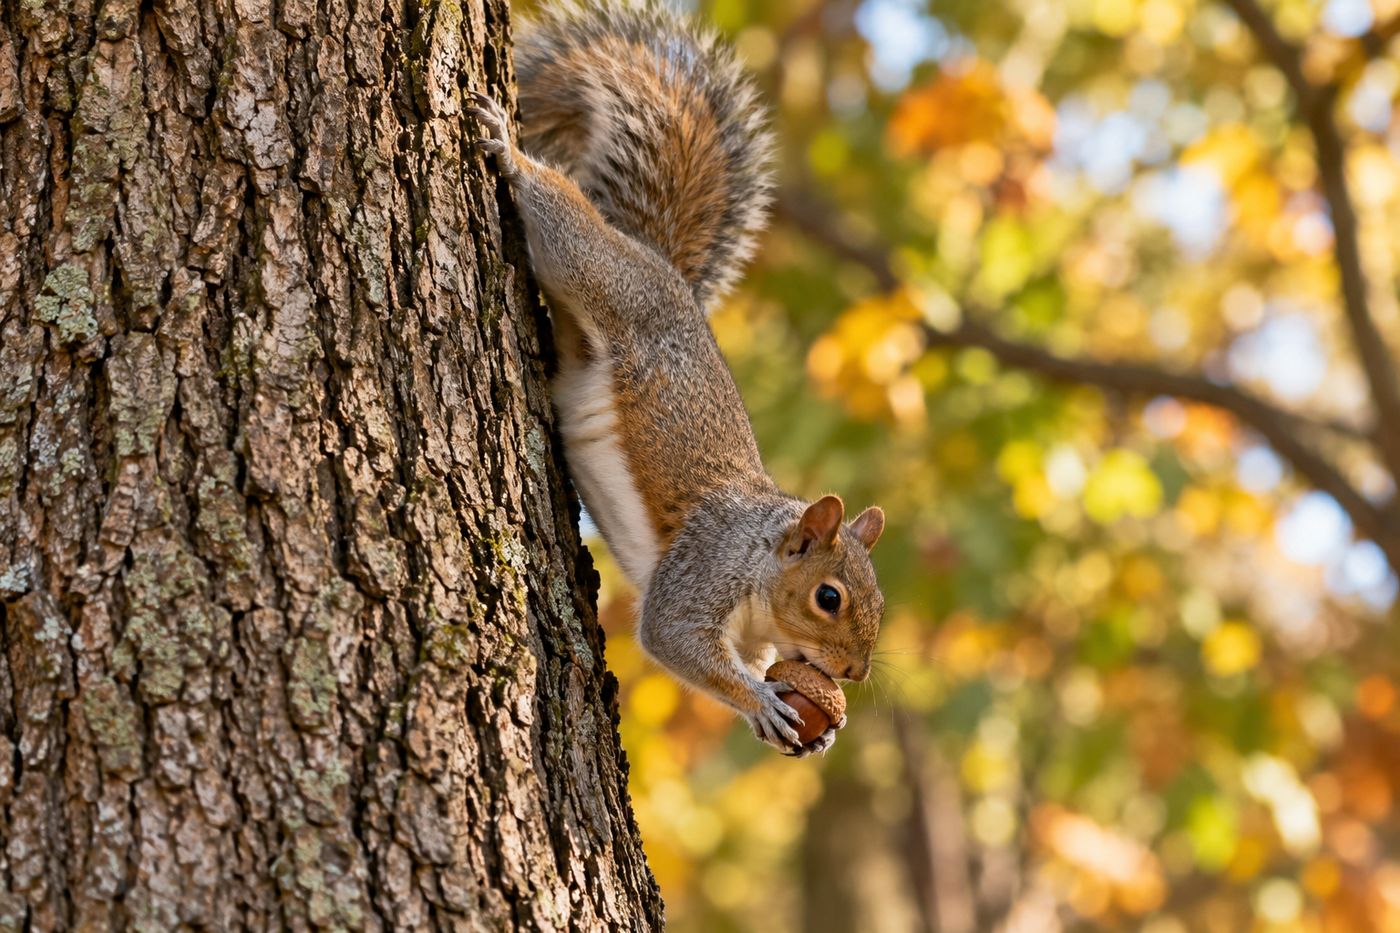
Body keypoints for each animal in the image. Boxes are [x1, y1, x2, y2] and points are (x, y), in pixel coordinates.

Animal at [468, 0, 886, 756]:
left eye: (879, 599)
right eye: (829, 597)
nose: (854, 673)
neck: (760, 561)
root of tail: (657, 262)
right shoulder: (705, 565)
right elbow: (673, 639)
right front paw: (760, 702)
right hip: (601, 276)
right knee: (565, 222)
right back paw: (509, 152)